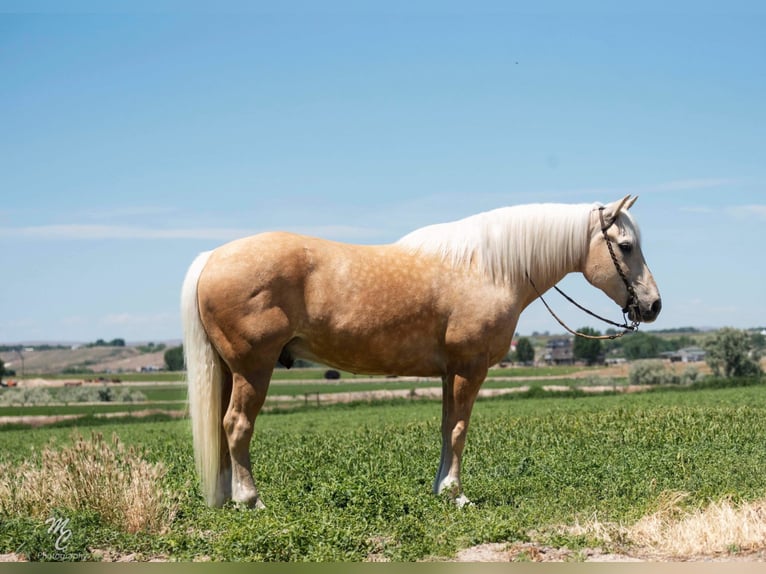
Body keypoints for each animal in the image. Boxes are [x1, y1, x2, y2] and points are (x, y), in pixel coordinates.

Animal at [180, 197, 660, 508]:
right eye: (625, 246)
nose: (653, 305)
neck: (488, 269)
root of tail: (212, 257)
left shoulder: (450, 373)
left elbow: (447, 427)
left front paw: (440, 488)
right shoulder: (470, 369)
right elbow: (460, 430)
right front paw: (456, 494)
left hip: (231, 371)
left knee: (222, 428)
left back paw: (225, 498)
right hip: (253, 368)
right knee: (237, 425)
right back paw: (250, 500)